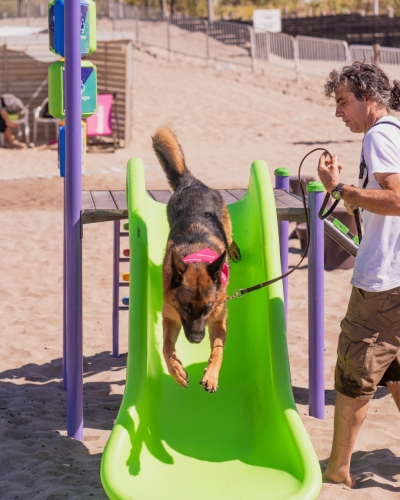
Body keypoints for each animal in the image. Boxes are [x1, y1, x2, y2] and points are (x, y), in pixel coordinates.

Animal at [152, 127, 241, 392]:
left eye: (208, 308)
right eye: (186, 307)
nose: (196, 340)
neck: (196, 258)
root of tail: (192, 184)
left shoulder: (218, 321)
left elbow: (218, 351)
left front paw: (211, 375)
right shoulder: (171, 317)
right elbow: (166, 348)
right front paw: (176, 371)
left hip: (225, 224)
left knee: (229, 235)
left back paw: (232, 249)